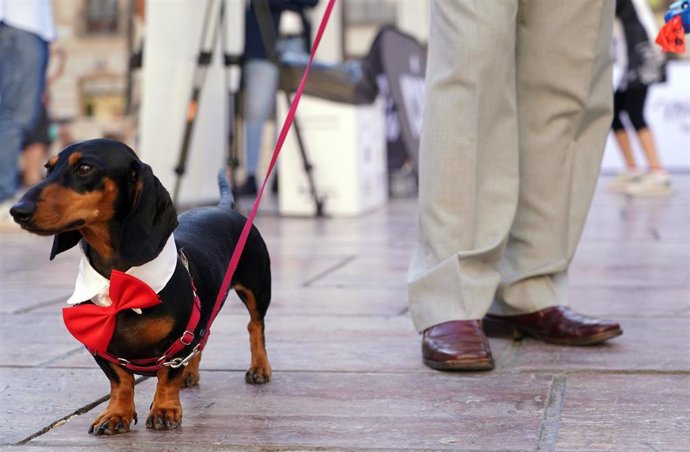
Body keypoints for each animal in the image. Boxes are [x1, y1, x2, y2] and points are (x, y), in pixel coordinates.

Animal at [9, 140, 272, 434]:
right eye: (48, 168)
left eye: (84, 167)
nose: (17, 211)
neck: (119, 280)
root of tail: (222, 207)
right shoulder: (100, 349)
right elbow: (121, 380)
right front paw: (116, 414)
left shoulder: (180, 338)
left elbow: (167, 376)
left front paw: (165, 410)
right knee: (205, 337)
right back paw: (190, 373)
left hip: (257, 289)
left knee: (255, 326)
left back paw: (259, 369)